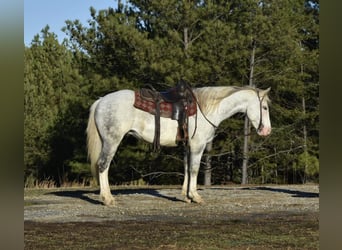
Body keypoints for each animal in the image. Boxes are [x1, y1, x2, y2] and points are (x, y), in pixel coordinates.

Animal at [87, 86, 272, 205]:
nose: (267, 130)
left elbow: (187, 169)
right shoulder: (197, 146)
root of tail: (101, 101)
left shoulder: (187, 147)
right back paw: (108, 199)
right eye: (264, 107)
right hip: (112, 141)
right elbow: (194, 169)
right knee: (103, 165)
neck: (206, 109)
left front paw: (186, 196)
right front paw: (195, 196)